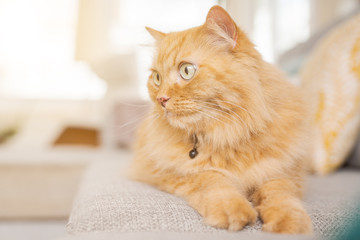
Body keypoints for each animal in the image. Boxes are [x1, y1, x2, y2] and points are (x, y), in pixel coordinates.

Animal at [129, 6, 312, 234]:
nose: (161, 99)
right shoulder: (172, 172)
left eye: (186, 70)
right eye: (157, 78)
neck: (228, 132)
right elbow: (214, 182)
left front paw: (290, 223)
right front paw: (233, 210)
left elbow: (281, 195)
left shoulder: (282, 173)